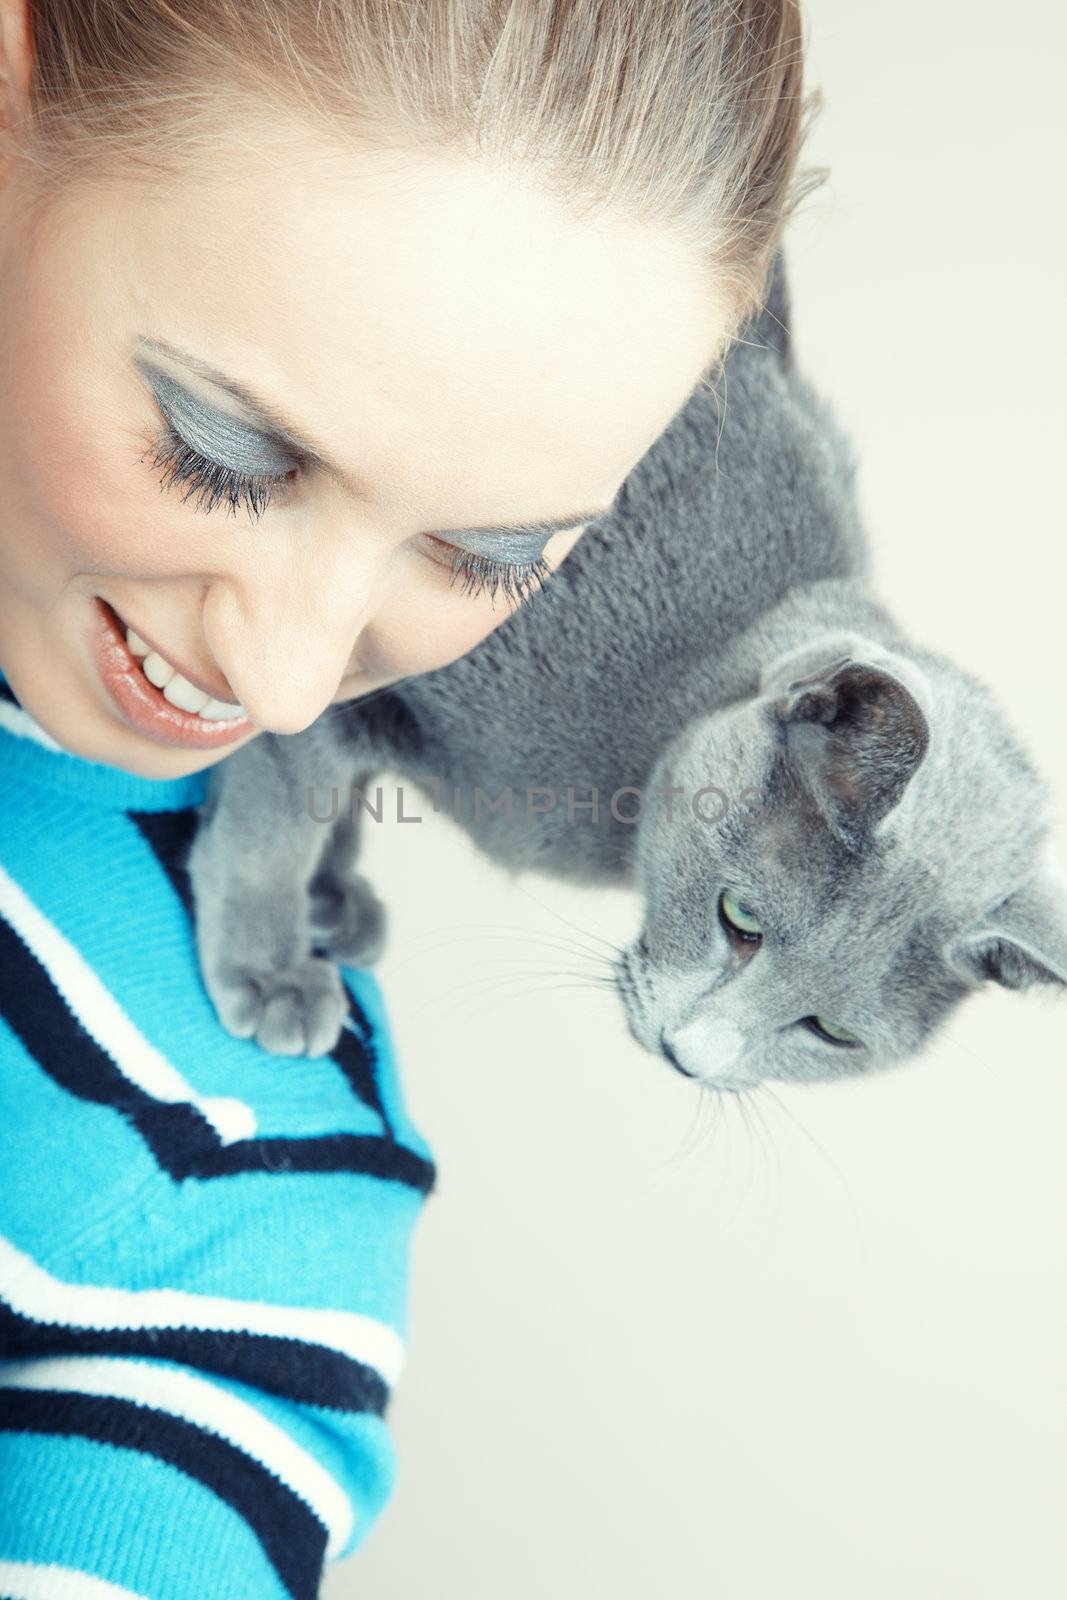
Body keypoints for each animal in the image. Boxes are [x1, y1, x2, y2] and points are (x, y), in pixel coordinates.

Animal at [187, 259, 1062, 1088]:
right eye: (739, 919)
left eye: (832, 1034)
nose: (689, 1059)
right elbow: (277, 821)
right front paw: (271, 970)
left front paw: (330, 896)